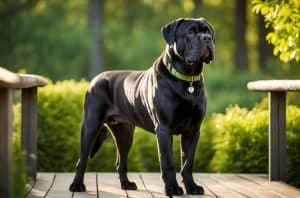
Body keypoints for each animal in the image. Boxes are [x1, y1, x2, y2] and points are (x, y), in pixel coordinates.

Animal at [69, 18, 216, 196]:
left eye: (208, 31)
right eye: (190, 32)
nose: (206, 39)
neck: (188, 80)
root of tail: (95, 79)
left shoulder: (193, 130)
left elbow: (188, 162)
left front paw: (192, 187)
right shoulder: (164, 129)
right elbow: (168, 163)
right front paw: (172, 188)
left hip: (124, 133)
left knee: (121, 162)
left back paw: (126, 184)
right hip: (91, 126)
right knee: (82, 160)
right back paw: (77, 185)